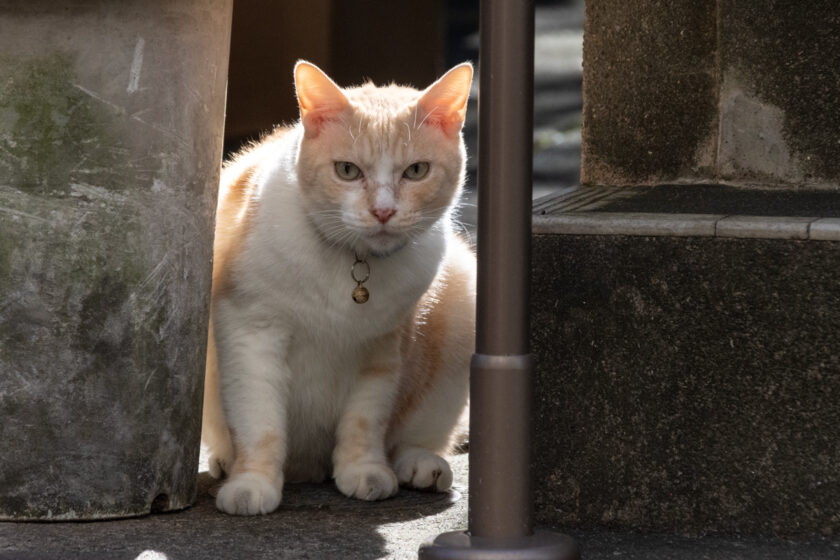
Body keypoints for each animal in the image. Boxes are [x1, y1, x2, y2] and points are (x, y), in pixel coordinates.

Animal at [201, 59, 476, 516]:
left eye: (416, 171)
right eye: (347, 171)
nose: (383, 211)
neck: (350, 263)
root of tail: (309, 470)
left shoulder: (382, 349)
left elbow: (365, 421)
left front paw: (365, 472)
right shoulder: (250, 334)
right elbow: (259, 422)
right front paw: (251, 484)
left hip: (464, 294)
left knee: (420, 435)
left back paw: (419, 465)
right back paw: (225, 462)